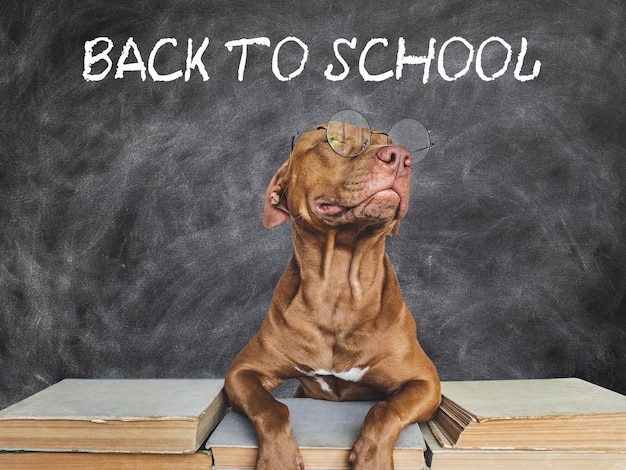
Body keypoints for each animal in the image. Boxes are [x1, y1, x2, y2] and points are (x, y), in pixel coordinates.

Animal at [224, 121, 438, 470]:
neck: (338, 288)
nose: (400, 157)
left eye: (389, 141)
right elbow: (272, 408)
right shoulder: (242, 373)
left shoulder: (426, 382)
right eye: (333, 139)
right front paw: (279, 458)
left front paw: (372, 459)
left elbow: (385, 409)